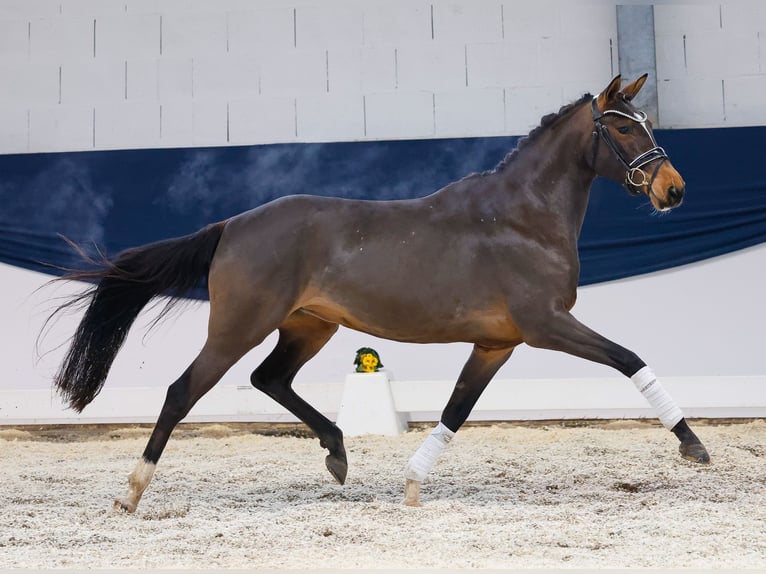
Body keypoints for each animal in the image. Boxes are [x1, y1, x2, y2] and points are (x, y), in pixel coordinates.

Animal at [48, 75, 712, 512]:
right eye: (622, 125)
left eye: (648, 124)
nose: (675, 190)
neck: (523, 218)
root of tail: (231, 225)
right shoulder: (545, 325)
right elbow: (629, 359)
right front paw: (694, 446)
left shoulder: (497, 343)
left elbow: (456, 410)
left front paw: (413, 483)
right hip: (240, 326)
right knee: (183, 391)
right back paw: (131, 494)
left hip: (311, 325)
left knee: (270, 378)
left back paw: (338, 454)